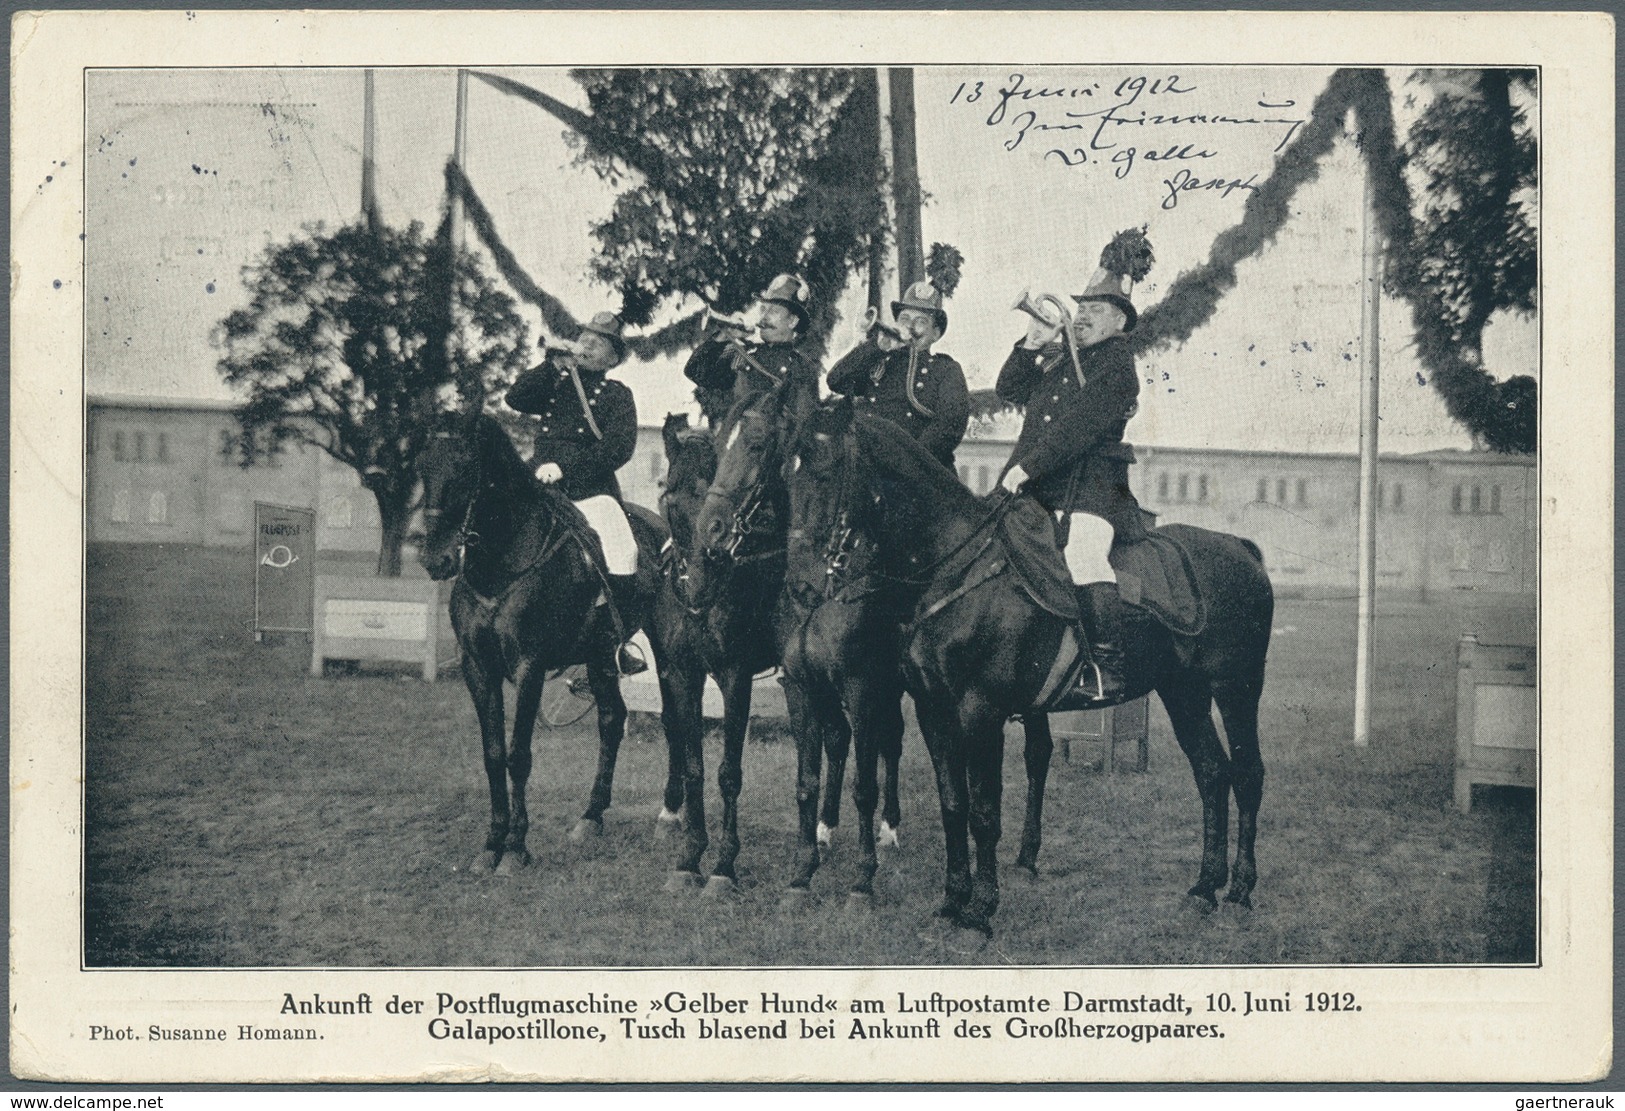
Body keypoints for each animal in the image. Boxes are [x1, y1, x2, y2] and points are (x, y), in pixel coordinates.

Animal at [425, 412, 672, 870]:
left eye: (467, 469)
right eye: (421, 465)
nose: (437, 560)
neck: (502, 563)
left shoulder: (530, 667)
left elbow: (518, 756)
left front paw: (515, 848)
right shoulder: (477, 667)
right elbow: (493, 754)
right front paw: (492, 843)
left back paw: (671, 815)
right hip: (600, 656)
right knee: (611, 719)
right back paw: (591, 817)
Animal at [793, 402, 1274, 935]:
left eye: (826, 469)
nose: (801, 585)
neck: (958, 569)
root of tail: (1241, 548)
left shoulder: (981, 712)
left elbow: (983, 811)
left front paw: (980, 912)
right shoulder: (933, 710)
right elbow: (953, 804)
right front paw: (951, 902)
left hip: (1236, 687)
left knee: (1247, 773)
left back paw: (1240, 890)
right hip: (1184, 692)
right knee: (1211, 772)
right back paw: (1204, 888)